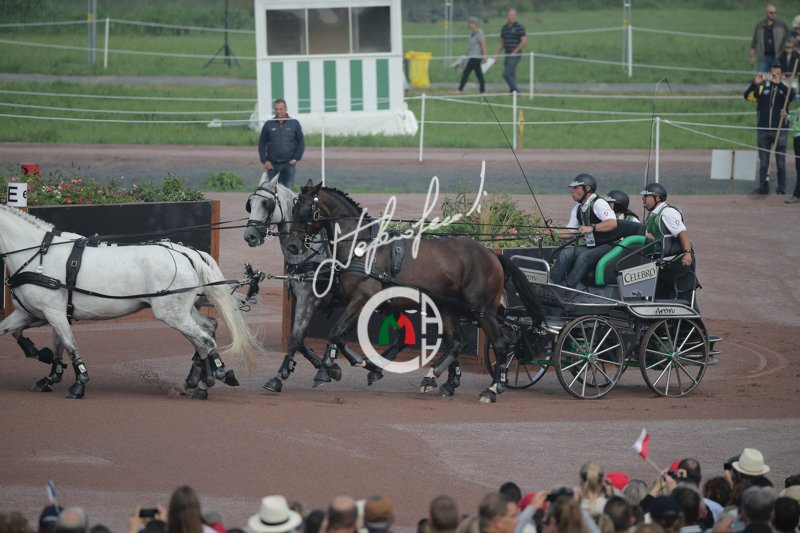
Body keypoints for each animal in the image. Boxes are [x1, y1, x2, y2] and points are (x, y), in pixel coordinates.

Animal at [0, 204, 260, 399]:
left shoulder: (52, 313)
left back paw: (214, 377)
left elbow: (70, 346)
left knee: (205, 340)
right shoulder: (40, 314)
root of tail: (188, 254)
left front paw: (79, 383)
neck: (39, 254)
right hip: (183, 311)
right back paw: (200, 380)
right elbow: (37, 339)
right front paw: (48, 372)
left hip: (172, 314)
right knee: (206, 332)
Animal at [285, 181, 546, 403]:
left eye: (306, 210)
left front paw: (350, 366)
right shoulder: (364, 300)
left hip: (481, 310)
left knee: (501, 343)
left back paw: (491, 389)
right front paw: (353, 367)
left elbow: (336, 333)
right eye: (293, 209)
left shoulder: (362, 298)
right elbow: (331, 334)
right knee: (457, 342)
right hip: (449, 308)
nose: (293, 245)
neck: (363, 247)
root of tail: (491, 253)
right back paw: (439, 380)